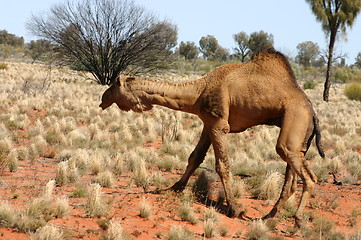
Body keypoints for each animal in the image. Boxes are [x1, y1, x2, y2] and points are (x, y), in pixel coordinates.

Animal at [98, 49, 324, 227]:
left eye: (114, 86)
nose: (102, 98)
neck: (198, 92)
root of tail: (313, 112)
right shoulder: (207, 123)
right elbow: (195, 157)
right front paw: (174, 188)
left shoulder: (218, 124)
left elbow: (222, 166)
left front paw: (235, 209)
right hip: (299, 137)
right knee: (291, 178)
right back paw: (267, 217)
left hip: (295, 122)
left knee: (308, 175)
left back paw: (297, 221)